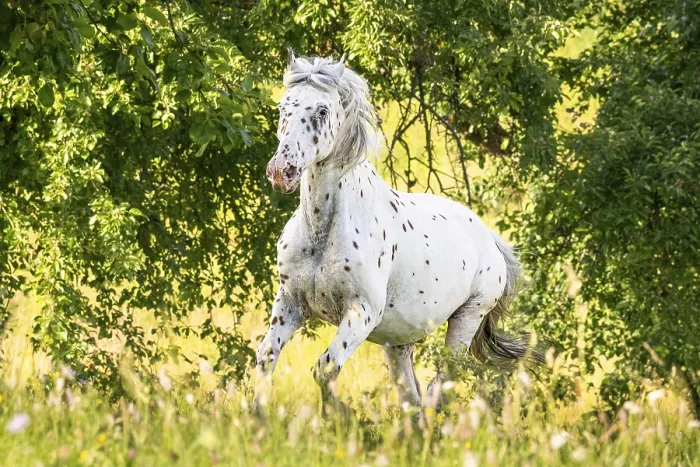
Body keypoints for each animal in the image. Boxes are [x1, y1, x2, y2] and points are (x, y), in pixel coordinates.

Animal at [254, 50, 540, 416]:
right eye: (283, 107)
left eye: (322, 111)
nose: (282, 172)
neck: (322, 230)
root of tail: (489, 237)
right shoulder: (290, 303)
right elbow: (266, 358)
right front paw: (257, 416)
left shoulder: (361, 312)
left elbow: (325, 368)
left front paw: (338, 417)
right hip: (398, 343)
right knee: (412, 401)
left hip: (466, 320)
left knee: (438, 389)